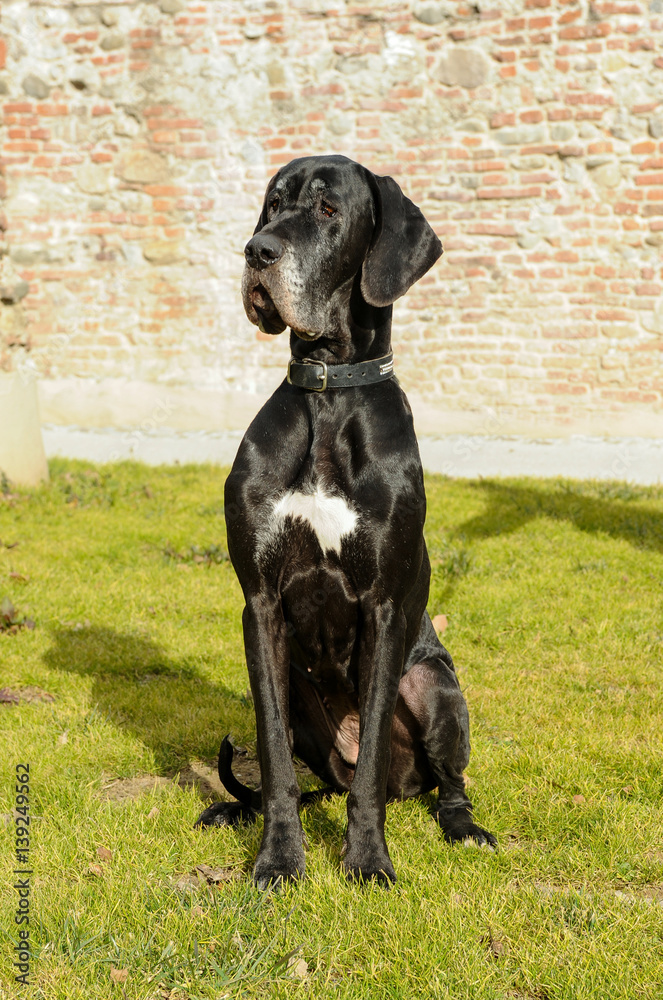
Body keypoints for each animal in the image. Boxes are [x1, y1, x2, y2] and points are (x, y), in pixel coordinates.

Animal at [197, 152, 498, 888]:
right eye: (272, 205)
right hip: (301, 696)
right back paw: (238, 809)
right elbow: (272, 758)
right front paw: (279, 858)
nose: (258, 251)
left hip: (437, 688)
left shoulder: (385, 608)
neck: (329, 395)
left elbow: (368, 779)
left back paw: (462, 825)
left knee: (440, 781)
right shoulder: (259, 606)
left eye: (328, 210)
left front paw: (366, 860)